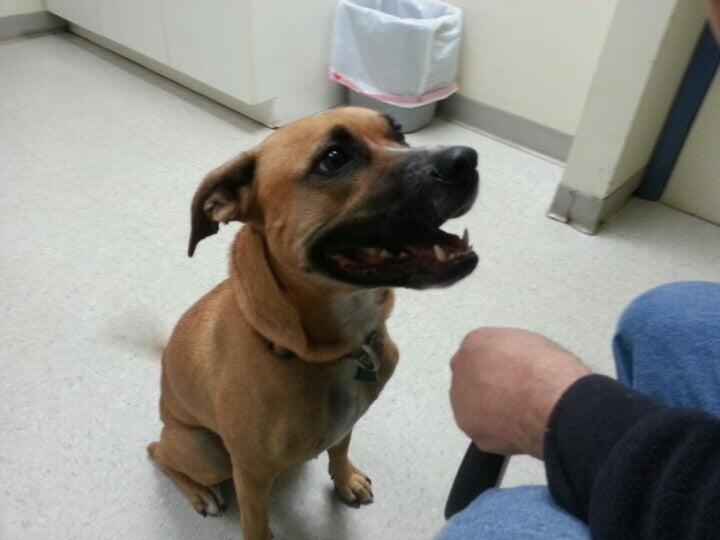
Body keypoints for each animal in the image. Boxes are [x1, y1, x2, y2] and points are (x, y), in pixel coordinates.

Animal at [147, 107, 479, 539]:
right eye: (334, 158)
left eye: (398, 132)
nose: (466, 160)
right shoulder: (250, 475)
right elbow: (258, 526)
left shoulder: (347, 423)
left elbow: (339, 451)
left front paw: (345, 479)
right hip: (208, 451)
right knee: (157, 453)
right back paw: (199, 492)